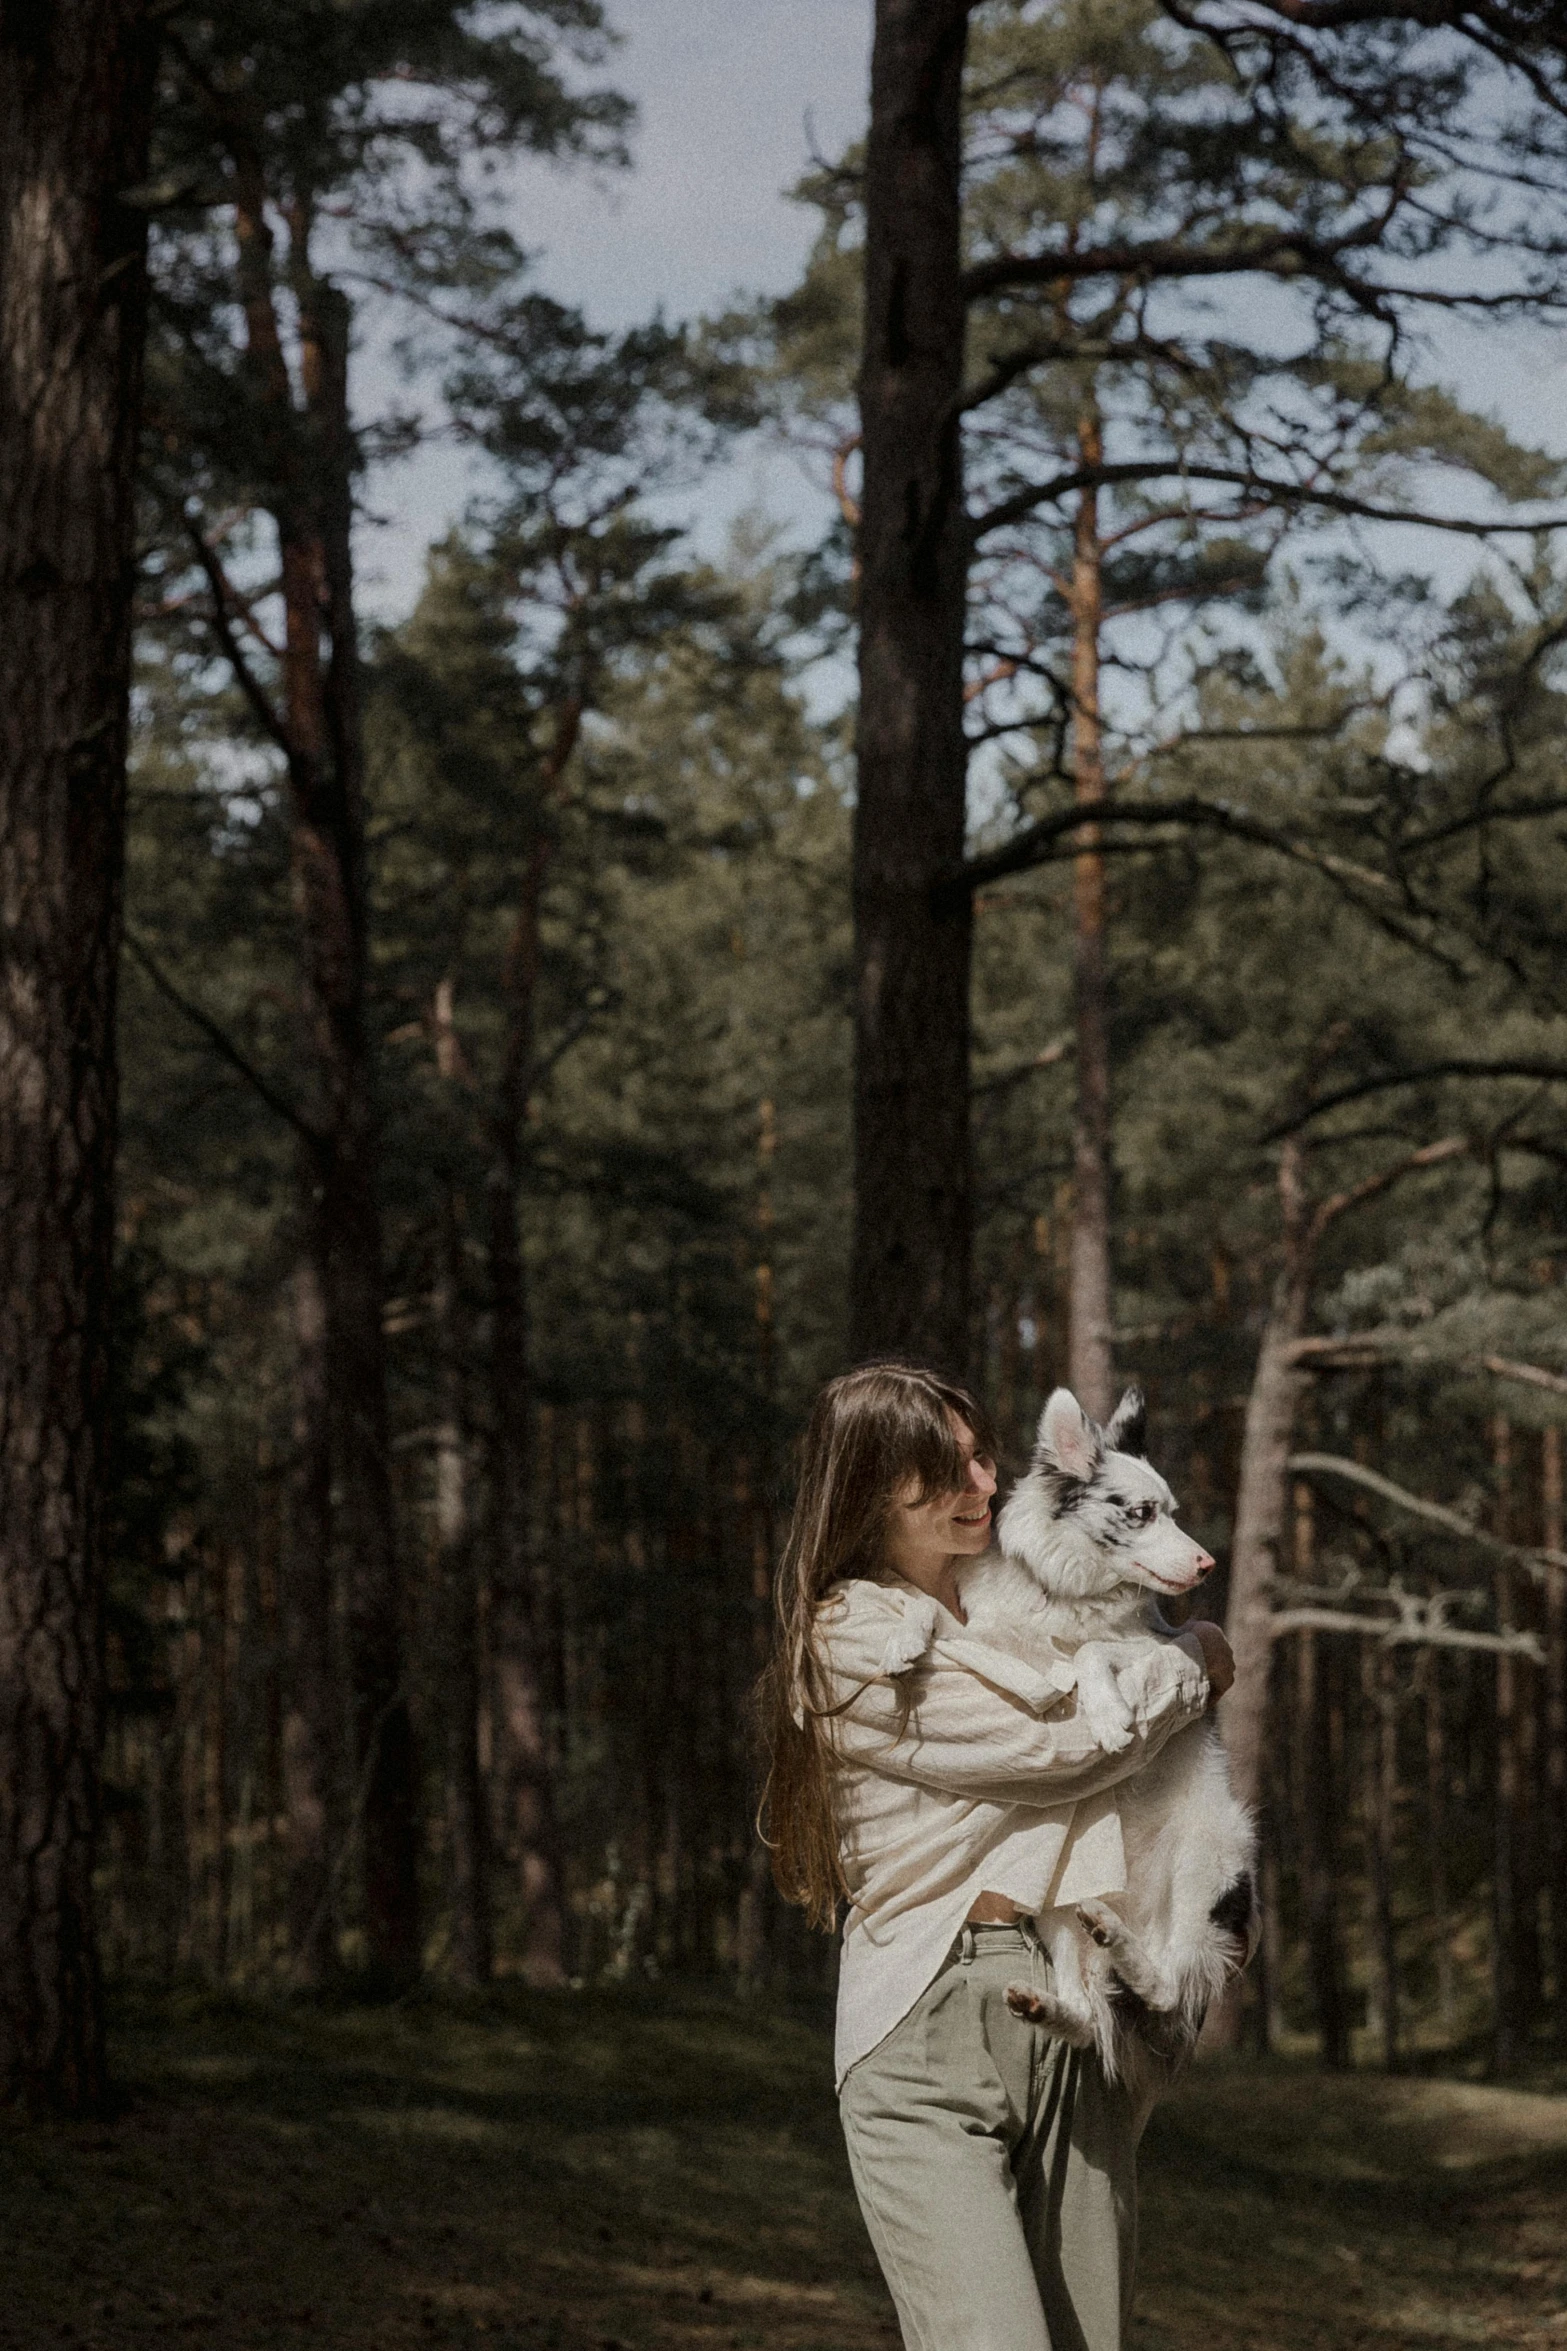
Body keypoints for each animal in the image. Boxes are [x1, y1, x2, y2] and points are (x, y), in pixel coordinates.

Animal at [958, 1372, 1259, 2115]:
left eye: (1174, 1512)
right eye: (1142, 1513)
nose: (1207, 1560)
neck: (1070, 1595)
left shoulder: (1160, 1644)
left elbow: (1096, 1648)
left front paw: (1113, 1714)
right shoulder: (1001, 1636)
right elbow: (1005, 1650)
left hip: (1205, 1862)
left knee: (1166, 1987)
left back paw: (1130, 1953)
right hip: (1057, 1906)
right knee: (1085, 2011)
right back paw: (1054, 1997)